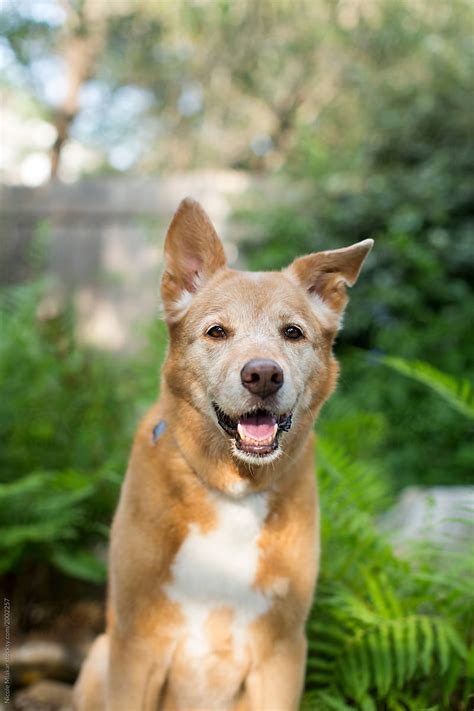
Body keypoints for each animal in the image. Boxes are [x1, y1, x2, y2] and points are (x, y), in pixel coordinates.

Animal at [73, 197, 374, 708]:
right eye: (216, 331)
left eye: (292, 332)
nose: (263, 375)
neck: (231, 487)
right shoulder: (135, 645)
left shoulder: (282, 651)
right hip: (98, 654)